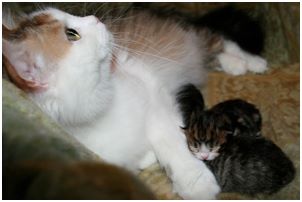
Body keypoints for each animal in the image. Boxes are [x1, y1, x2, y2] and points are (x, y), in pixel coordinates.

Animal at [2, 3, 266, 200]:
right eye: (71, 34)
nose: (96, 18)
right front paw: (146, 157)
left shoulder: (152, 92)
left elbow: (171, 142)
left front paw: (196, 181)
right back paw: (236, 64)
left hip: (190, 35)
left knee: (219, 39)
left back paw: (251, 62)